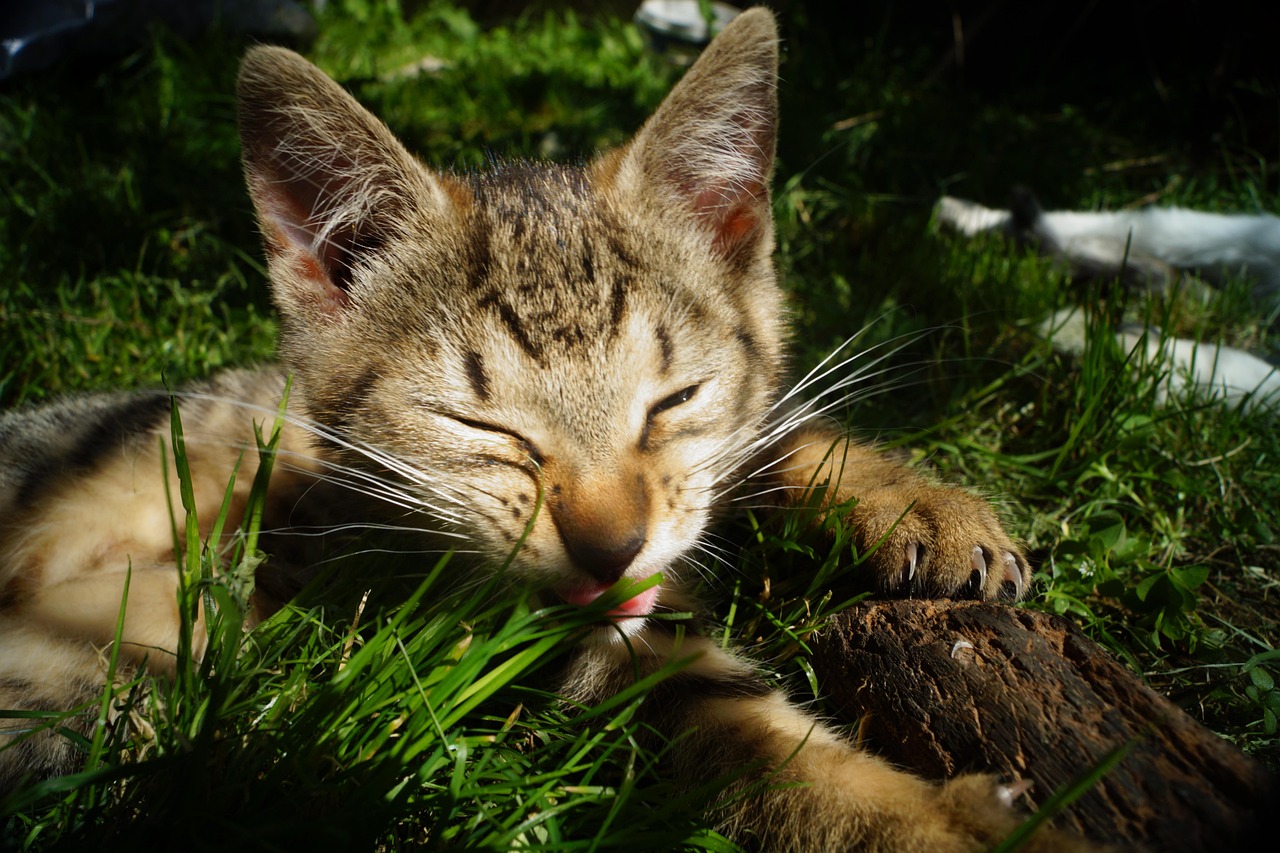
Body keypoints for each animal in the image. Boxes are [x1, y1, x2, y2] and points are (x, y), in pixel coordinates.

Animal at [0, 9, 1064, 845]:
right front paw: (956, 826)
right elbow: (766, 755)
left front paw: (922, 508)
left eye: (674, 399)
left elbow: (763, 437)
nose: (611, 544)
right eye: (483, 426)